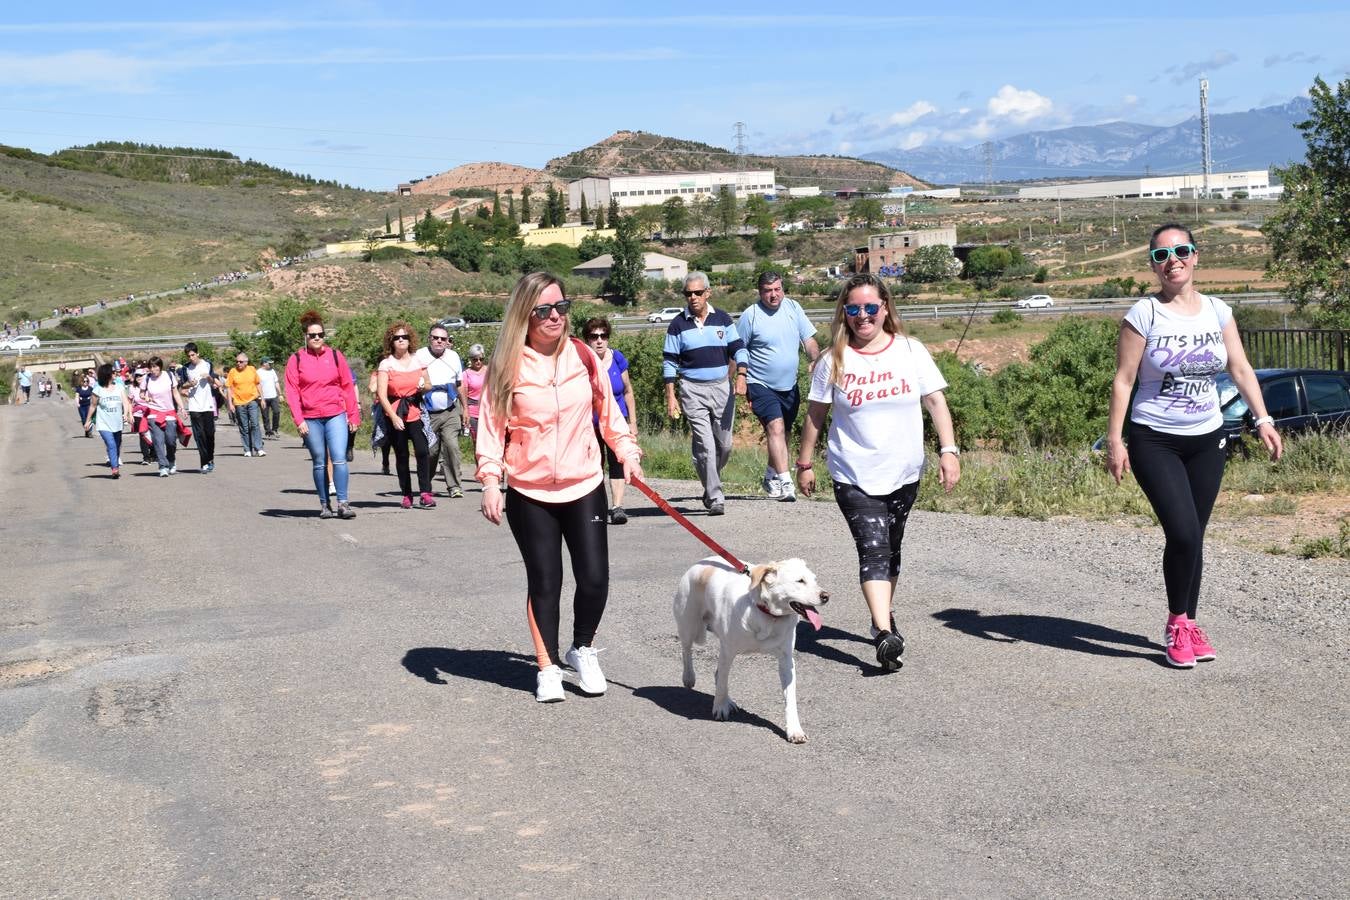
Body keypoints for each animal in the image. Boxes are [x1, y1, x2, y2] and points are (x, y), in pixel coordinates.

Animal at [672, 555, 820, 744]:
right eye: (800, 581)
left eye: (815, 580)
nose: (826, 596)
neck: (768, 615)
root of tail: (702, 562)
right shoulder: (728, 651)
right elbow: (722, 683)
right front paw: (720, 707)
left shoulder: (787, 660)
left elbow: (790, 698)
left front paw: (794, 730)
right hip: (689, 625)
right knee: (687, 649)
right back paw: (689, 677)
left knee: (717, 673)